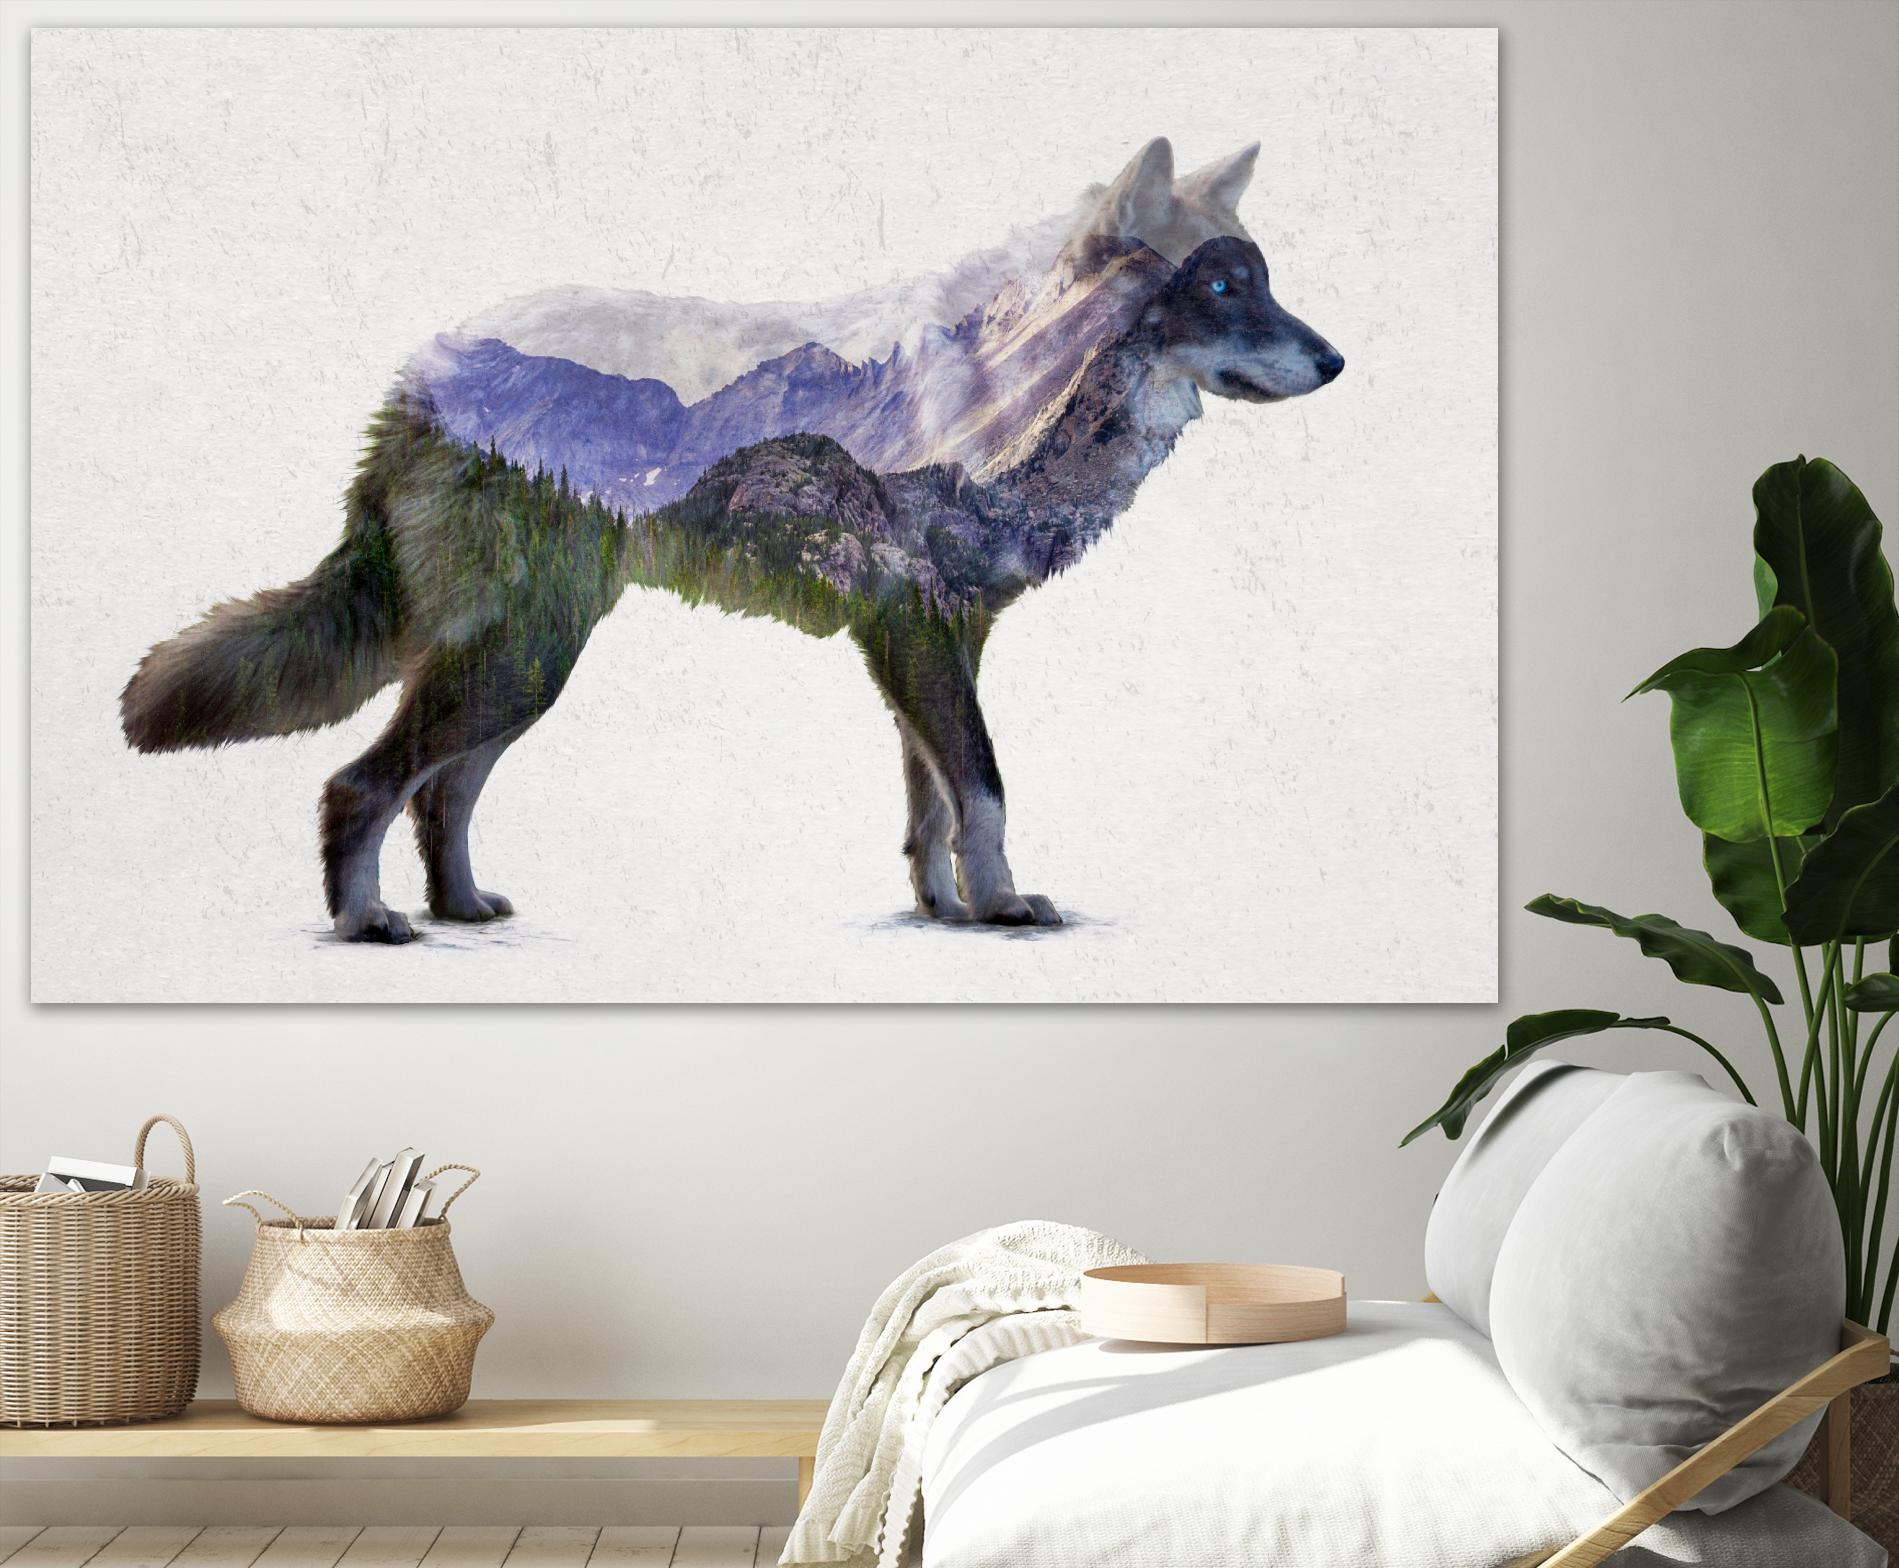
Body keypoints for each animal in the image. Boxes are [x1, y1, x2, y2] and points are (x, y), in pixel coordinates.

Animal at [121, 137, 1343, 942]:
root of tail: (422, 373)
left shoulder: (932, 645)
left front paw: (947, 908)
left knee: (438, 793)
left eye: (1264, 280)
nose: (1336, 362)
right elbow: (985, 789)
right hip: (521, 661)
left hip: (529, 663)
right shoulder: (917, 637)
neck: (1010, 396)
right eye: (1221, 284)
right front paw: (1002, 908)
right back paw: (370, 924)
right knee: (360, 784)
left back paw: (461, 908)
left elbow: (933, 805)